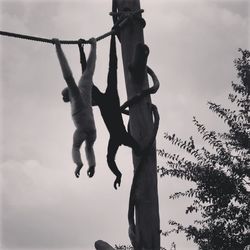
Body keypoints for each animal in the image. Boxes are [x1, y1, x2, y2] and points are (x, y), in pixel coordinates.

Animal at [52, 37, 96, 178]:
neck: (73, 95)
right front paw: (93, 43)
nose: (62, 98)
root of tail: (89, 129)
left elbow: (67, 76)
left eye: (63, 95)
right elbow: (88, 72)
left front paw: (58, 44)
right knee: (89, 147)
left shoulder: (74, 89)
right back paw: (92, 167)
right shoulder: (84, 85)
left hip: (81, 132)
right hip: (93, 133)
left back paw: (79, 165)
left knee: (76, 146)